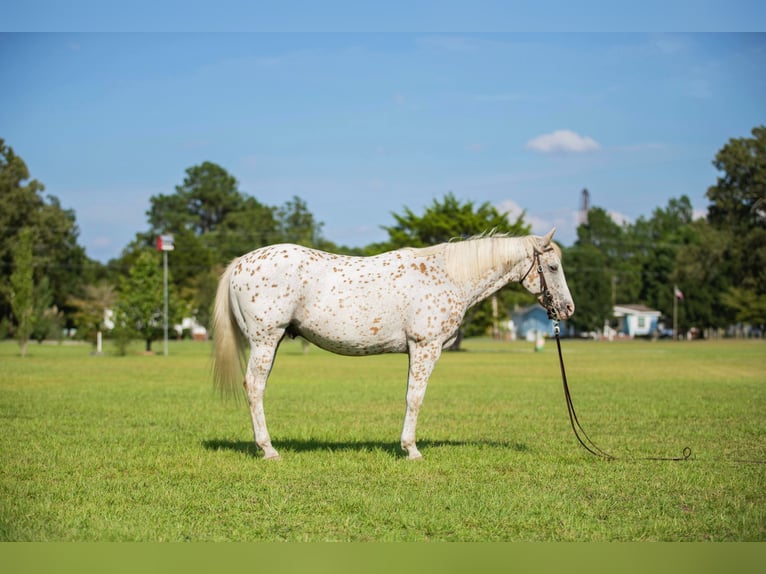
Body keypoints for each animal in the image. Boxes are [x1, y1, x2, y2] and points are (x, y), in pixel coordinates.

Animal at [213, 227, 572, 462]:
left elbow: (409, 397)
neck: (448, 275)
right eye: (553, 267)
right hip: (265, 340)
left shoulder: (416, 351)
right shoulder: (426, 347)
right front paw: (411, 449)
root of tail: (241, 262)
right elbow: (415, 398)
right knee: (255, 387)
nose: (567, 309)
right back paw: (268, 449)